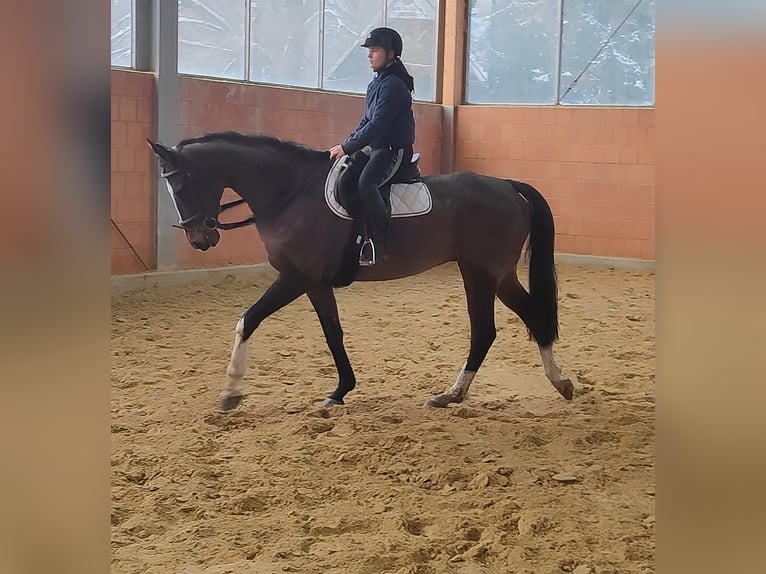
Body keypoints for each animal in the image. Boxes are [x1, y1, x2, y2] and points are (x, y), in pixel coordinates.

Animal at [147, 131, 574, 411]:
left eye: (181, 186)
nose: (201, 239)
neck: (289, 193)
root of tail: (507, 185)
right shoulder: (316, 284)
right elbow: (333, 333)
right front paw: (340, 391)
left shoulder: (296, 278)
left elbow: (248, 320)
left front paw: (231, 392)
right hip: (494, 275)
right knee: (524, 319)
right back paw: (550, 383)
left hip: (483, 274)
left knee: (489, 329)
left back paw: (462, 393)